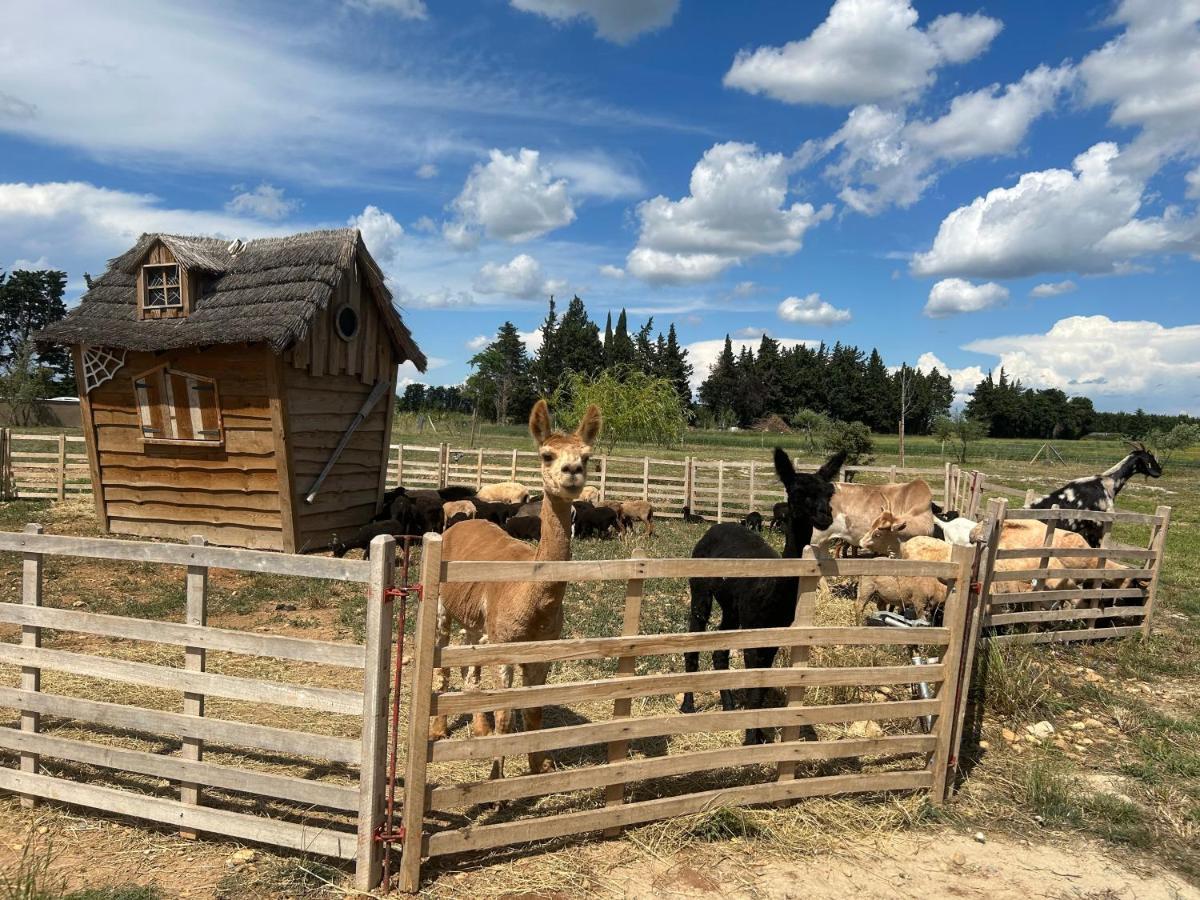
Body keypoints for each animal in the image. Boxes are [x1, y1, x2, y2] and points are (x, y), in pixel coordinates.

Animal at [686, 451, 844, 748]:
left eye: (830, 492)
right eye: (796, 492)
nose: (824, 515)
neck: (772, 591)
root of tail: (716, 528)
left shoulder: (772, 633)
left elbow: (761, 687)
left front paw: (758, 735)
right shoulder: (754, 630)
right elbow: (754, 689)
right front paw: (751, 740)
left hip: (733, 607)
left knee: (720, 649)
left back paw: (728, 707)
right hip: (700, 588)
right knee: (695, 637)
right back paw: (687, 706)